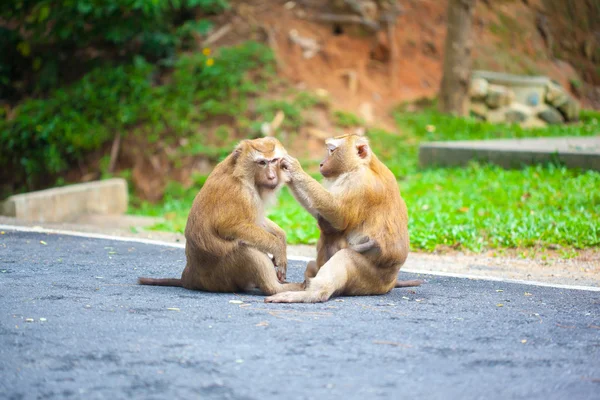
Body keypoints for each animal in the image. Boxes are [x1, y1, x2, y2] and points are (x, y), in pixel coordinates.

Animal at [138, 137, 302, 294]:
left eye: (274, 160)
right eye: (262, 162)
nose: (272, 176)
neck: (243, 174)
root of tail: (189, 276)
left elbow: (256, 221)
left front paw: (281, 238)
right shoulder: (241, 193)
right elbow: (231, 227)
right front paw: (278, 248)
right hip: (223, 276)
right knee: (245, 248)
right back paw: (276, 288)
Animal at [264, 132, 420, 304]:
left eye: (332, 150)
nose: (321, 163)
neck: (362, 164)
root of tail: (390, 283)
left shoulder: (357, 182)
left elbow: (339, 217)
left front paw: (294, 169)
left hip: (369, 279)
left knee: (344, 256)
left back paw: (312, 294)